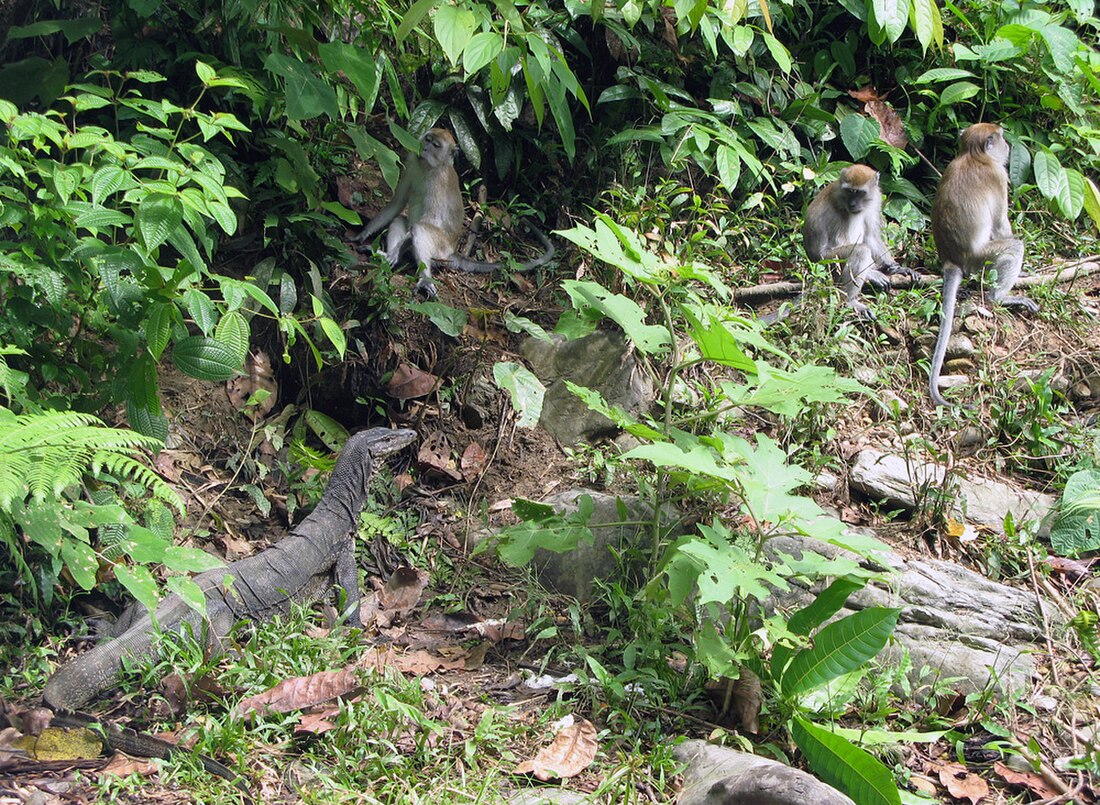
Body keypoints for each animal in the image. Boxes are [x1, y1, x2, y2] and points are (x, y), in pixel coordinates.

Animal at [352, 128, 554, 299]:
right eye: (428, 139)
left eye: (436, 145)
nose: (425, 148)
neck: (429, 166)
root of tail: (452, 252)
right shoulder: (412, 164)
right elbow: (397, 204)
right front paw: (363, 234)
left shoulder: (439, 183)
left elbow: (429, 220)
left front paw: (395, 252)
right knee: (400, 221)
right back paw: (386, 256)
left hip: (440, 250)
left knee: (419, 229)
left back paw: (424, 278)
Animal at [800, 164, 910, 318]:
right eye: (849, 191)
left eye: (859, 192)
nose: (852, 204)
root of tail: (814, 263)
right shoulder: (840, 205)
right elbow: (842, 242)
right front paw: (872, 274)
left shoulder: (875, 199)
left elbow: (871, 236)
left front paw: (895, 267)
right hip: (828, 262)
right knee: (860, 251)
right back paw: (850, 300)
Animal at [928, 122, 1038, 404]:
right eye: (1000, 138)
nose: (1008, 146)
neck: (973, 155)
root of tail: (952, 259)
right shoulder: (998, 176)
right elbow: (1000, 225)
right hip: (980, 257)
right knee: (1013, 248)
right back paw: (1000, 298)